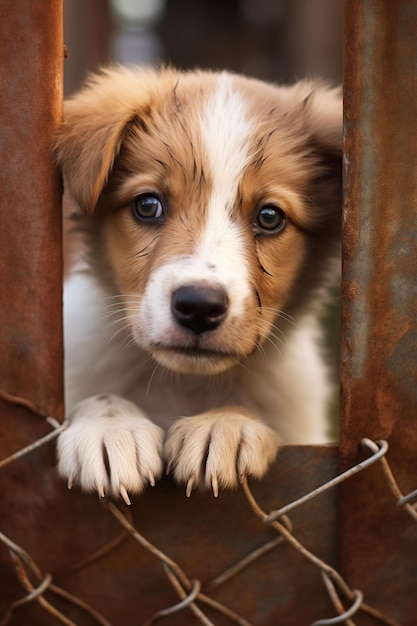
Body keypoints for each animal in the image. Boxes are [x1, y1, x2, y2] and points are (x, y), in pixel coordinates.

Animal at [56, 64, 342, 502]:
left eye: (270, 217)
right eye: (147, 205)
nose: (199, 307)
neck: (185, 384)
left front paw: (224, 424)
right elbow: (100, 397)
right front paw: (109, 427)